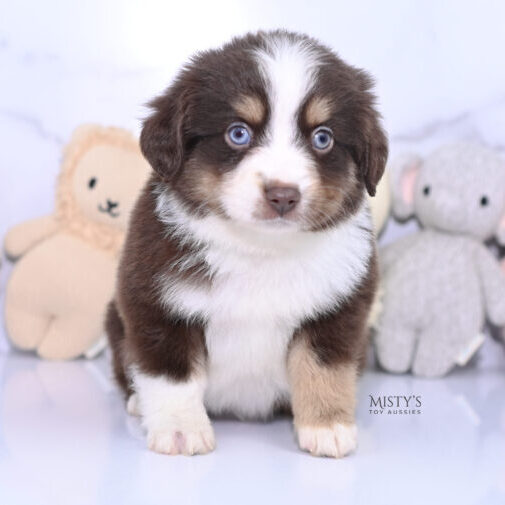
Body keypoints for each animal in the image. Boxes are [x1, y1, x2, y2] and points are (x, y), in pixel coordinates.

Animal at [107, 30, 386, 456]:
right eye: (238, 133)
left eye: (323, 138)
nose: (283, 195)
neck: (261, 251)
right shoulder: (155, 304)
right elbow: (172, 375)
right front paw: (180, 429)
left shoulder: (341, 307)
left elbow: (323, 366)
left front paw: (327, 425)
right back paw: (139, 401)